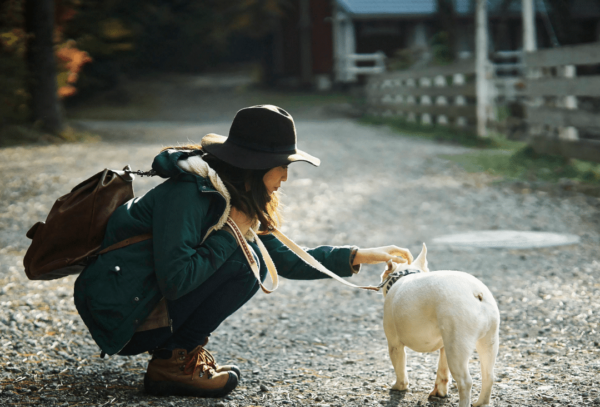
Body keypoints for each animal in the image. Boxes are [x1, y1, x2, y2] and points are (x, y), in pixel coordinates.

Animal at [382, 245, 500, 407]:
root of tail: (477, 293)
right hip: (487, 341)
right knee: (488, 375)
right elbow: (442, 370)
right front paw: (440, 392)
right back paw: (481, 403)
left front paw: (399, 387)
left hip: (457, 348)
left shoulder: (394, 344)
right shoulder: (445, 345)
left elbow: (400, 367)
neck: (405, 274)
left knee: (465, 382)